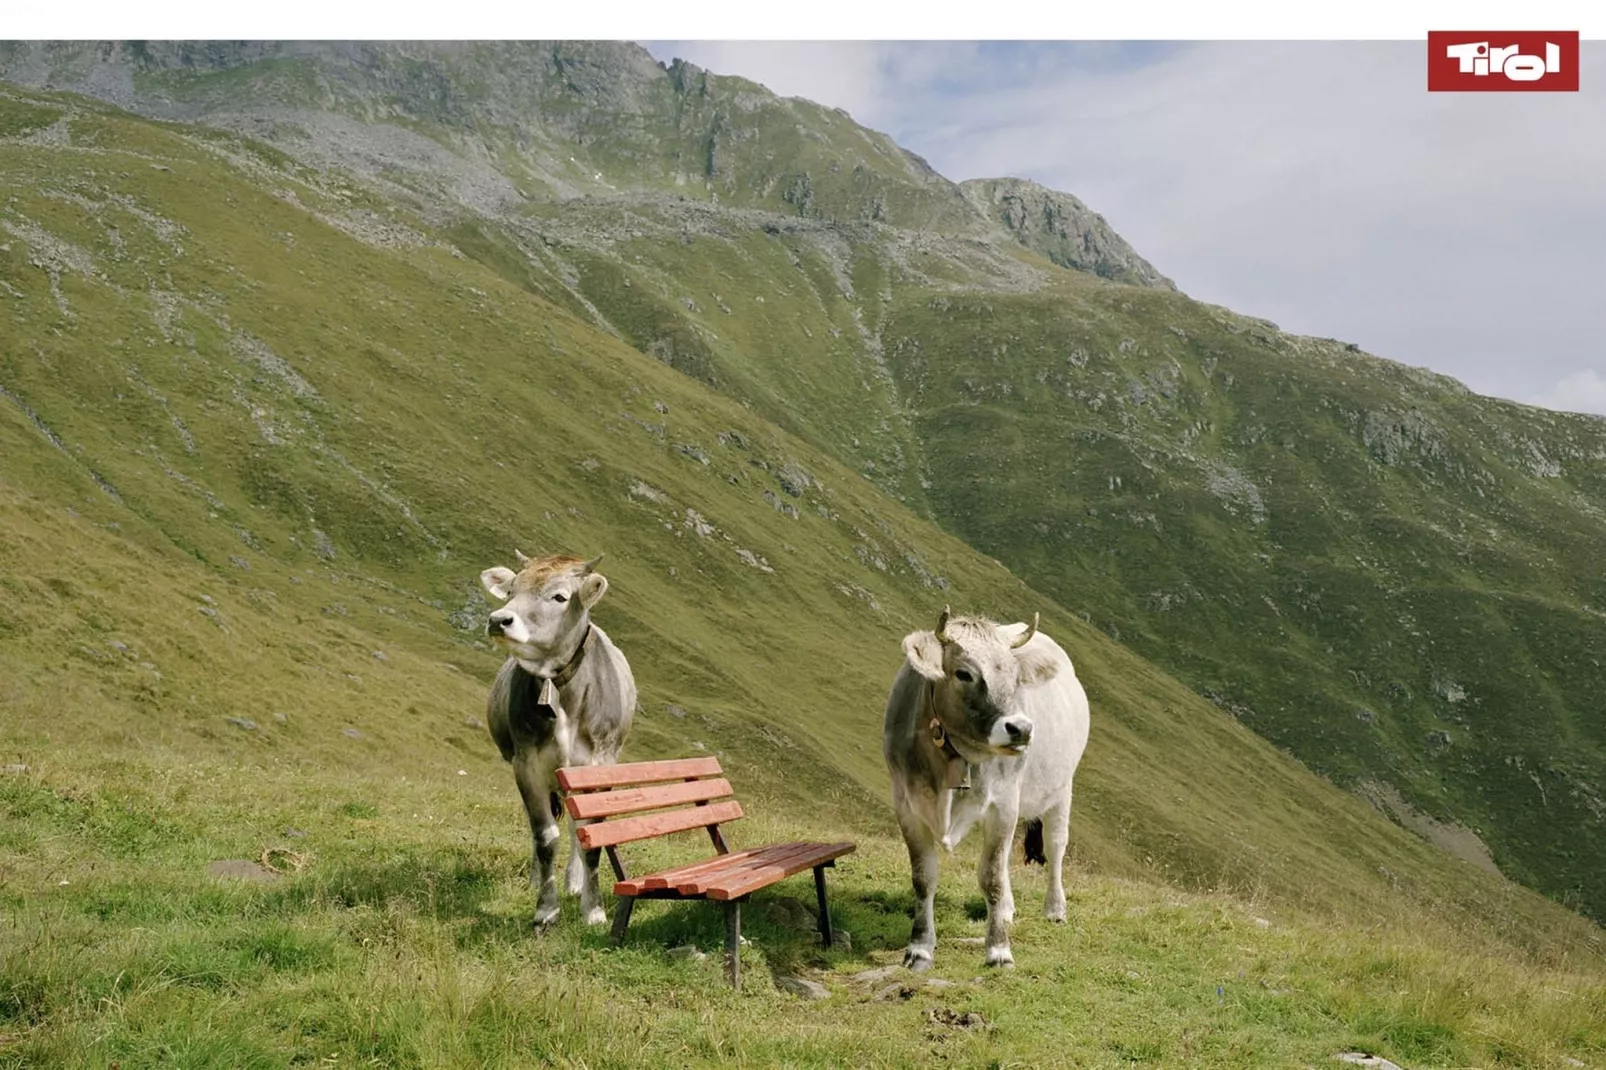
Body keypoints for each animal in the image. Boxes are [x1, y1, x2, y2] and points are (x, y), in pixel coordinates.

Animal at [475, 549, 632, 925]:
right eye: (511, 590)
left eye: (559, 597)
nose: (499, 619)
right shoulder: (527, 764)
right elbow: (544, 836)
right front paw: (545, 909)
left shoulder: (597, 767)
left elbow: (590, 838)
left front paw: (593, 910)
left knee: (577, 829)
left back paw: (575, 883)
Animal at [880, 607, 1092, 963]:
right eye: (964, 673)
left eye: (1016, 678)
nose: (1021, 729)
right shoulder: (905, 803)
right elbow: (923, 877)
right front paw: (920, 947)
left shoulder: (1004, 802)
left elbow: (991, 878)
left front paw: (999, 950)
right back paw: (1005, 910)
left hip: (1062, 788)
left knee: (1055, 846)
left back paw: (1054, 909)